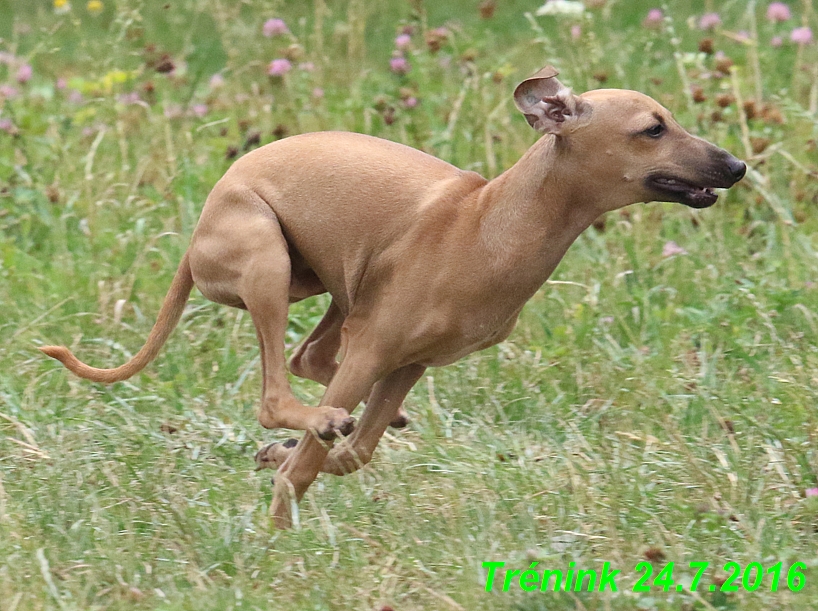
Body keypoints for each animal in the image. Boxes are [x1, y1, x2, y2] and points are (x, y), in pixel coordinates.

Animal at [38, 65, 744, 524]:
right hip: (268, 260)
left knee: (309, 361)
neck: (493, 223)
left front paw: (299, 453)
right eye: (653, 129)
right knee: (276, 392)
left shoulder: (408, 363)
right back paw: (310, 421)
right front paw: (279, 532)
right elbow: (306, 469)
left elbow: (354, 454)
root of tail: (197, 234)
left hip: (323, 281)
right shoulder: (376, 350)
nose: (736, 166)